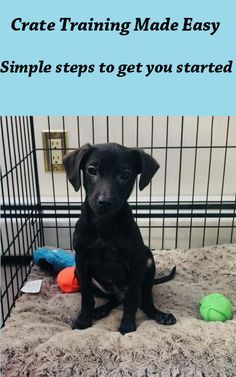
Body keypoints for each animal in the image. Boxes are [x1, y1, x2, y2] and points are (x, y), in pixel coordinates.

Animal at [63, 142, 176, 334]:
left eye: (125, 174)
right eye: (92, 170)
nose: (104, 202)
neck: (104, 224)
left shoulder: (136, 262)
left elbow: (132, 300)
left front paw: (127, 326)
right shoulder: (81, 260)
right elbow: (86, 297)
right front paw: (84, 320)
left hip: (148, 265)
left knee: (143, 301)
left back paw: (160, 315)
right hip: (80, 274)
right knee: (114, 300)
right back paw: (100, 310)